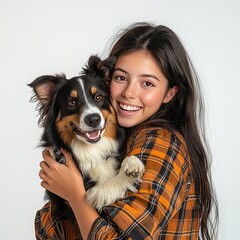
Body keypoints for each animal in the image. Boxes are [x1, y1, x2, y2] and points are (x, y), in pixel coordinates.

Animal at [28, 55, 143, 211]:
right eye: (71, 102)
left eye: (98, 97)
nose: (93, 119)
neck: (91, 150)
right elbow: (97, 193)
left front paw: (132, 164)